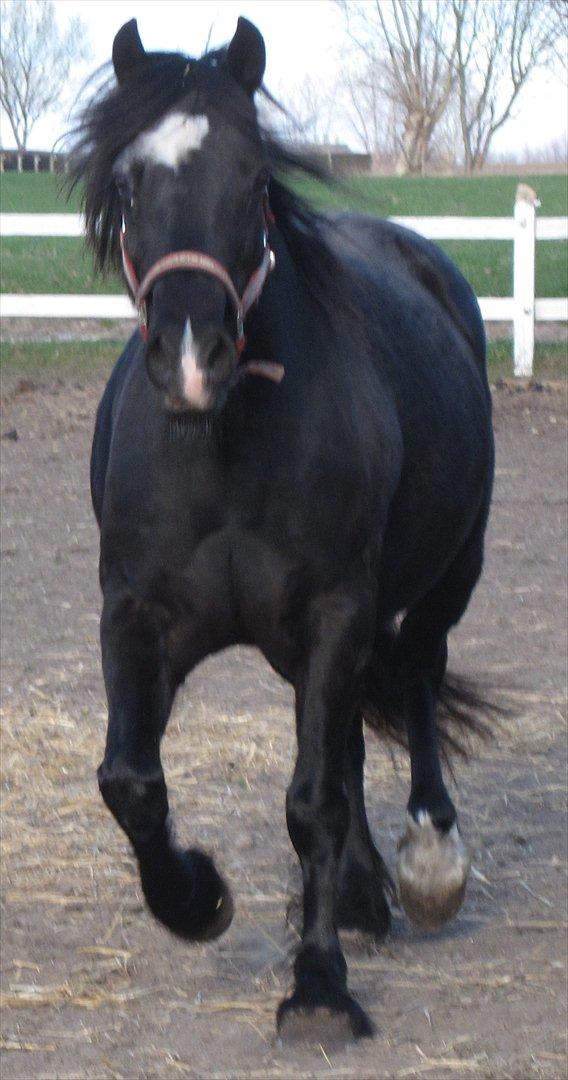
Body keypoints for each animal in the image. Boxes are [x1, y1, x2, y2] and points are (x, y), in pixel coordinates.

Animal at [73, 16, 496, 1041]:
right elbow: (130, 781)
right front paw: (198, 898)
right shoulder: (136, 618)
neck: (224, 452)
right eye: (126, 183)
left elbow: (312, 803)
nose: (193, 357)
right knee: (348, 742)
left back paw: (428, 863)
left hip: (445, 576)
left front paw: (318, 988)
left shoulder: (338, 611)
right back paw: (364, 893)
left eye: (253, 178)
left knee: (418, 680)